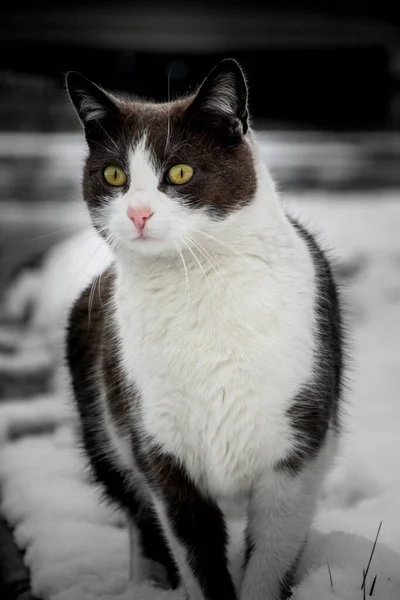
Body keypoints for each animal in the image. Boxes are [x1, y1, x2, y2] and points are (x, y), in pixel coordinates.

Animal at [65, 57, 344, 600]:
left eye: (179, 171)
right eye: (114, 175)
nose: (138, 212)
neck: (197, 283)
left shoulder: (295, 458)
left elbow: (269, 562)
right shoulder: (162, 456)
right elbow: (197, 560)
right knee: (141, 521)